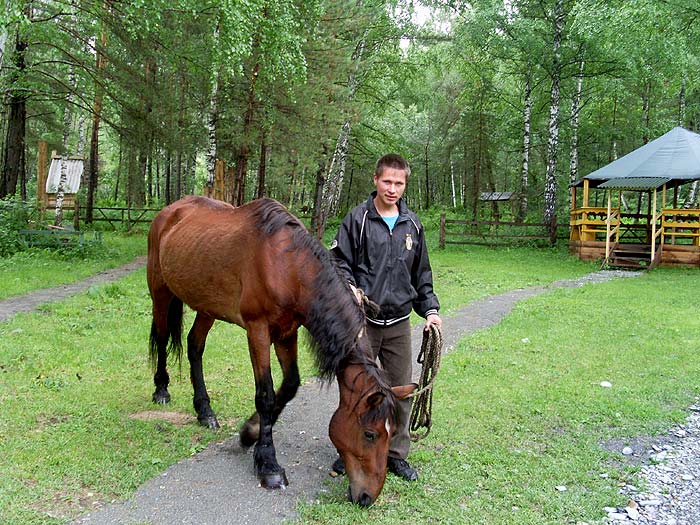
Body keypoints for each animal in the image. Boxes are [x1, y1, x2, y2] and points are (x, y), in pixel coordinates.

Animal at [145, 195, 412, 504]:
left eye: (391, 433)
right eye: (370, 434)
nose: (367, 497)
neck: (288, 266)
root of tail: (169, 211)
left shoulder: (287, 333)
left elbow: (290, 385)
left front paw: (250, 433)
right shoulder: (258, 331)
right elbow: (266, 395)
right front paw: (268, 465)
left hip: (207, 306)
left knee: (194, 347)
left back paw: (205, 410)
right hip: (160, 292)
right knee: (162, 338)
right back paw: (161, 390)